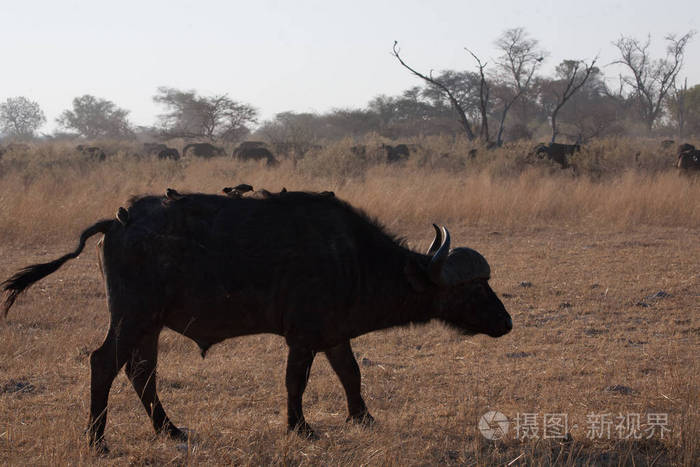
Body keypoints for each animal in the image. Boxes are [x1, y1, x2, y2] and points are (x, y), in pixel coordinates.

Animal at [2, 190, 512, 450]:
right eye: (471, 288)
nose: (506, 323)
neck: (352, 256)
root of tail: (117, 222)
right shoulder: (303, 337)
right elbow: (295, 382)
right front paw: (301, 427)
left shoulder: (333, 334)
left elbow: (351, 374)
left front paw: (363, 417)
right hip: (133, 317)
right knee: (104, 364)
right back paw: (97, 440)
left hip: (149, 325)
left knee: (141, 371)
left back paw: (170, 429)